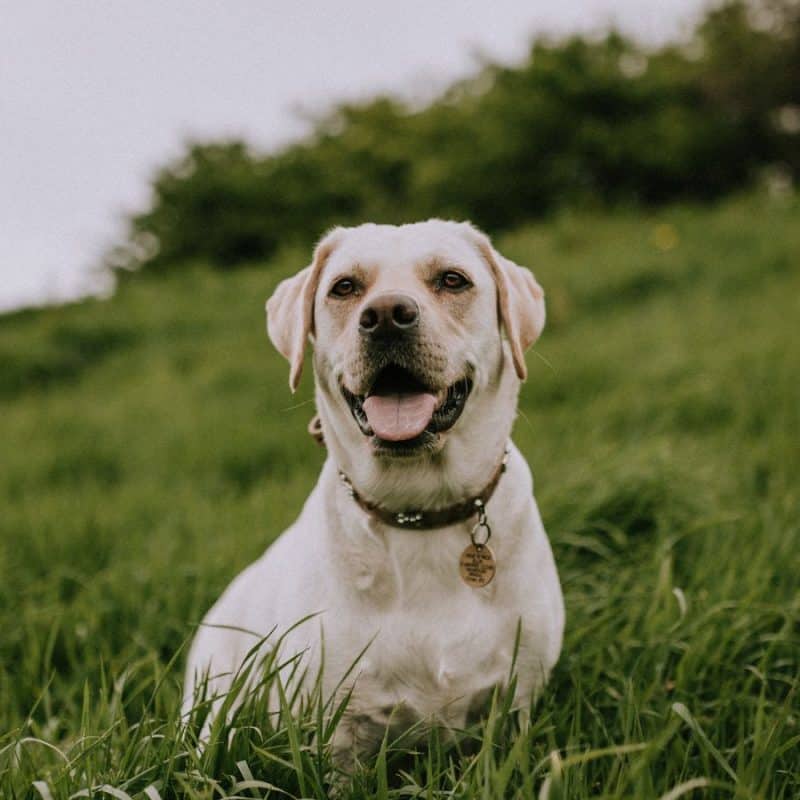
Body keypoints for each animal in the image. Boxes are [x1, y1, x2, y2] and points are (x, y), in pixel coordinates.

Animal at [184, 219, 564, 764]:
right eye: (345, 287)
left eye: (452, 280)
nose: (385, 316)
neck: (418, 512)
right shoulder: (336, 727)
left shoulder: (520, 699)